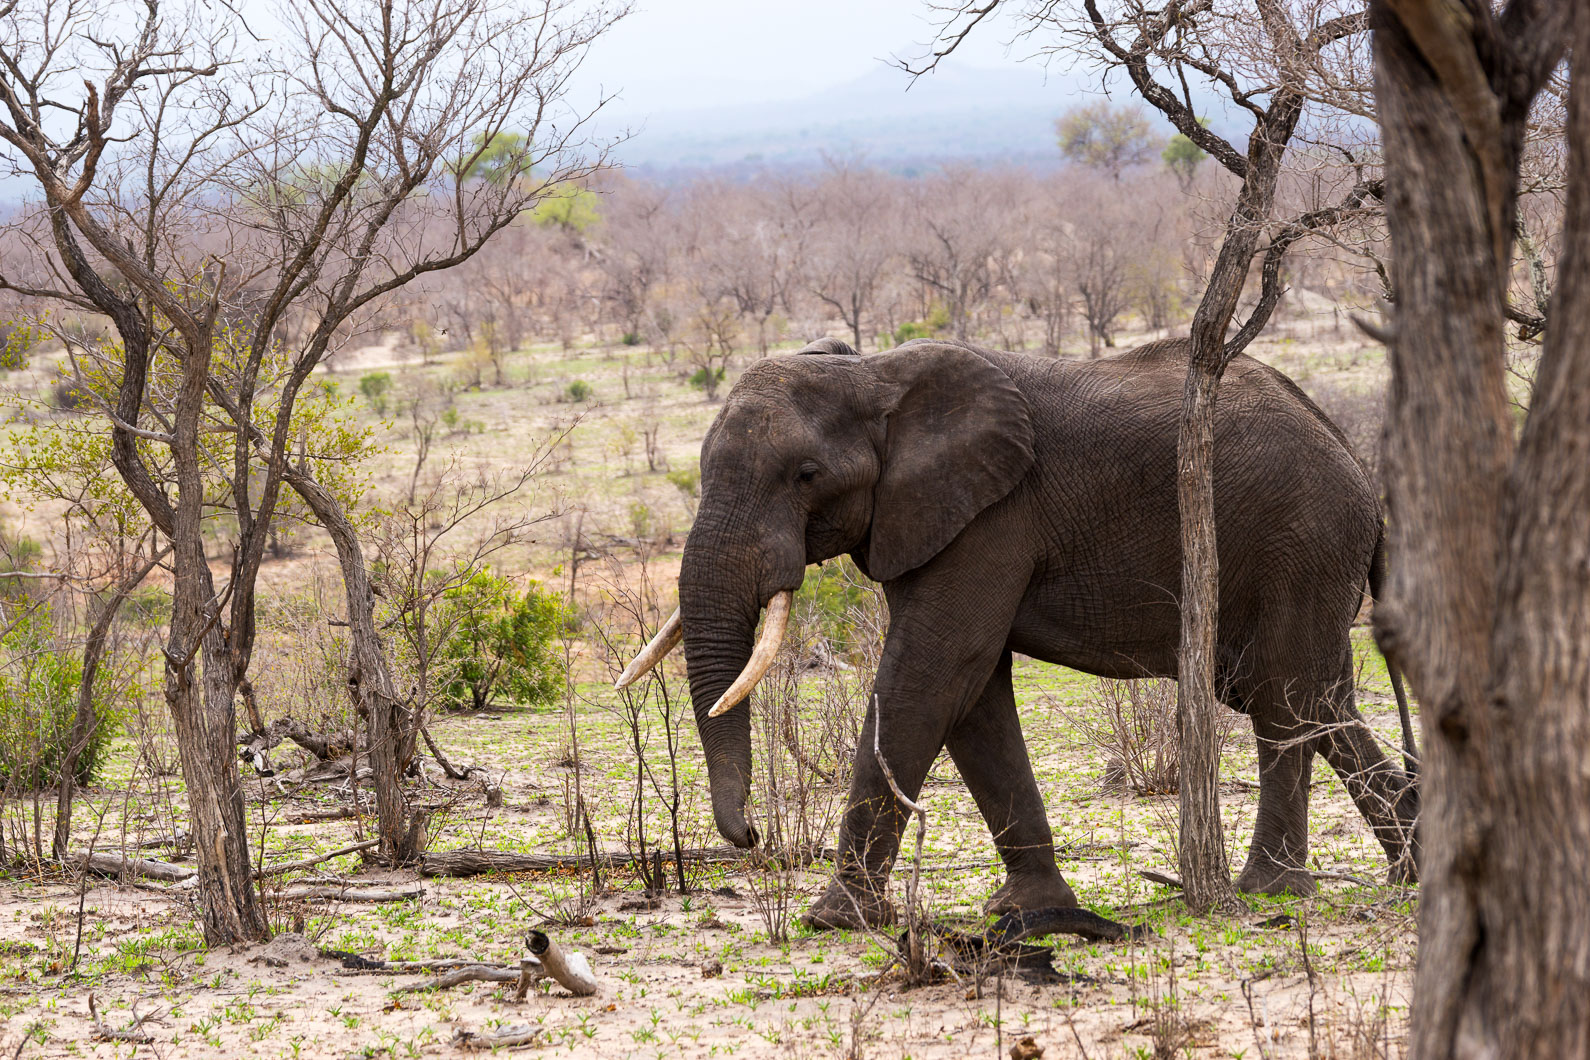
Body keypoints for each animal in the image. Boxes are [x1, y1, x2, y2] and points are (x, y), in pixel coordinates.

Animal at [618, 335, 1420, 929]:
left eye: (806, 474)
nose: (752, 835)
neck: (876, 374)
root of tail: (1360, 470)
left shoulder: (991, 517)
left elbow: (933, 672)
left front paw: (834, 919)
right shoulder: (941, 518)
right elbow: (974, 697)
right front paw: (1027, 910)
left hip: (1301, 540)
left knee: (1284, 699)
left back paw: (1269, 892)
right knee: (1318, 700)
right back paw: (1410, 869)